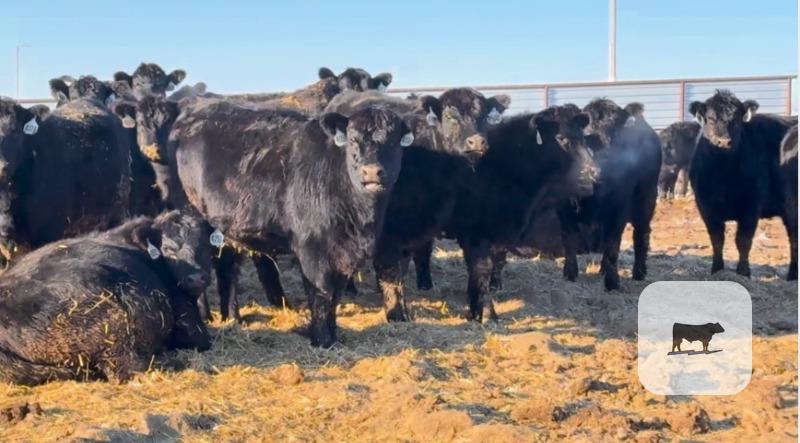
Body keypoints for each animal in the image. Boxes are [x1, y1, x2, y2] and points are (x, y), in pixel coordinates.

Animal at [326, 88, 511, 321]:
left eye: (485, 116)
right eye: (450, 116)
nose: (477, 142)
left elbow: (481, 266)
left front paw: (487, 312)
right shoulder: (392, 229)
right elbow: (392, 270)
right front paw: (397, 314)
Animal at [689, 90, 797, 280]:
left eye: (736, 119)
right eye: (710, 118)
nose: (723, 141)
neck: (723, 176)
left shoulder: (751, 207)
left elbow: (743, 241)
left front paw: (743, 272)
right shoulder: (706, 207)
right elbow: (717, 240)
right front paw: (716, 269)